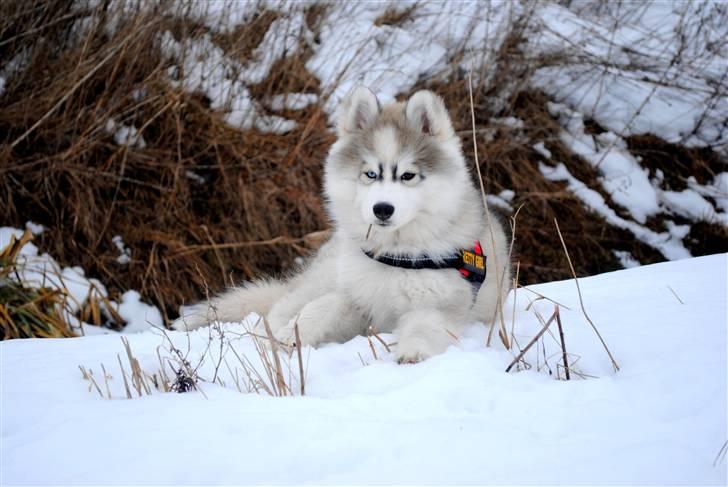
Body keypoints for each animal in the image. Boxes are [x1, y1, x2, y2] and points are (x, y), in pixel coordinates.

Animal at [173, 86, 510, 362]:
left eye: (408, 175)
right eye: (371, 174)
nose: (382, 209)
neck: (395, 254)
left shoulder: (441, 304)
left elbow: (425, 325)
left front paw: (412, 352)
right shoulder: (358, 301)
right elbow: (326, 305)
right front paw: (289, 337)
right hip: (322, 277)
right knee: (281, 307)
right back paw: (266, 336)